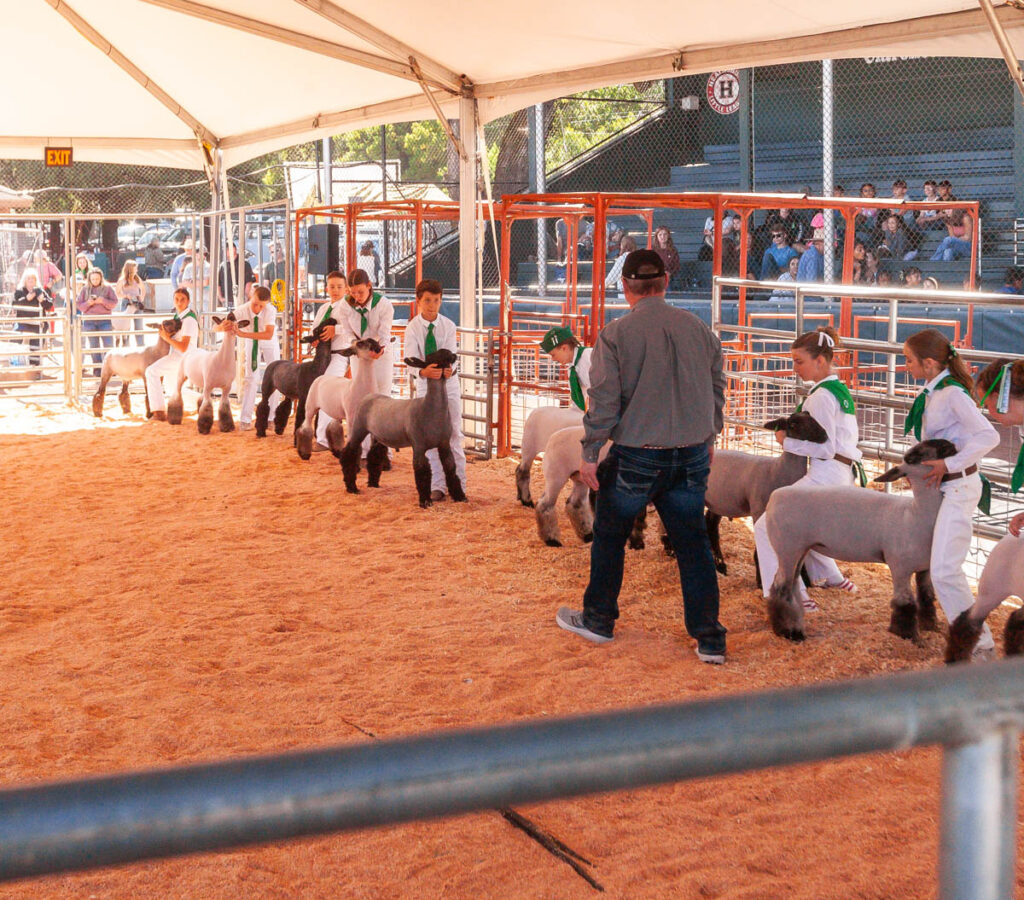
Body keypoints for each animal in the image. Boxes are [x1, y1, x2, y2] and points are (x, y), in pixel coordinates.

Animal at [340, 349, 466, 508]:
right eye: (433, 357)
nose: (451, 353)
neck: (430, 408)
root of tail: (368, 396)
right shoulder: (418, 445)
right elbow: (422, 471)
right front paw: (425, 501)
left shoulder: (444, 444)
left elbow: (451, 468)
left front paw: (460, 496)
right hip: (358, 427)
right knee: (349, 453)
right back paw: (352, 487)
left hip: (380, 435)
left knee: (374, 455)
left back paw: (373, 484)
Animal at [704, 411, 826, 579]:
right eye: (793, 425)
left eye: (811, 416)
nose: (824, 435)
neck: (778, 470)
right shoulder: (758, 512)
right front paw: (761, 580)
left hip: (718, 502)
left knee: (711, 525)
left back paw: (720, 565)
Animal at [762, 439, 953, 644]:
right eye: (913, 456)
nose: (949, 444)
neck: (914, 514)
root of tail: (774, 497)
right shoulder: (899, 567)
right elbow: (905, 603)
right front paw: (907, 635)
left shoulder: (925, 568)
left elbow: (927, 597)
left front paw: (931, 626)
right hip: (787, 548)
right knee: (781, 587)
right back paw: (790, 632)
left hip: (801, 548)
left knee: (789, 585)